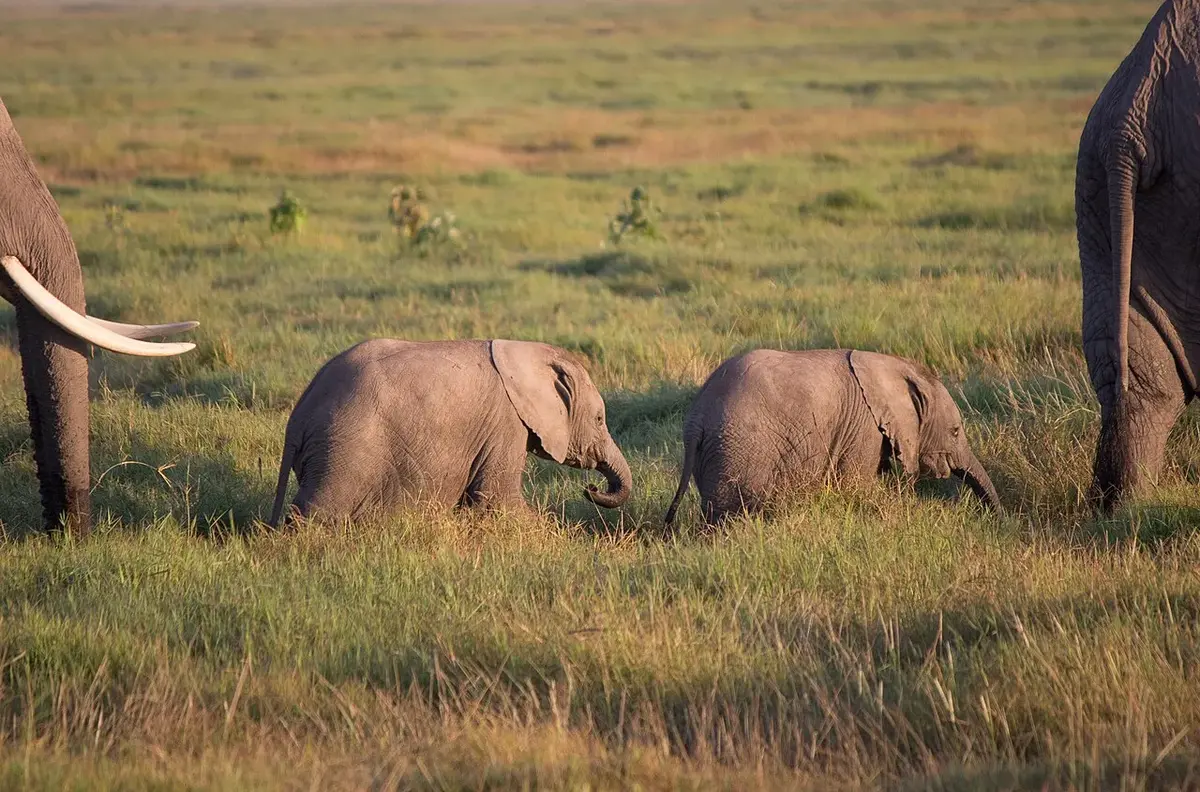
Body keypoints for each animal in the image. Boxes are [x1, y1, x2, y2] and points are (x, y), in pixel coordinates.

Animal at [268, 338, 632, 526]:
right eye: (600, 419)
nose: (590, 488)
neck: (528, 353)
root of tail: (298, 419)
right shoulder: (506, 422)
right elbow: (498, 498)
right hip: (345, 447)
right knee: (316, 511)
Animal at [663, 349, 999, 526]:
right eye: (955, 431)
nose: (998, 519)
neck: (894, 366)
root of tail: (696, 418)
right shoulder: (862, 427)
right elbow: (857, 487)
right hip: (740, 448)